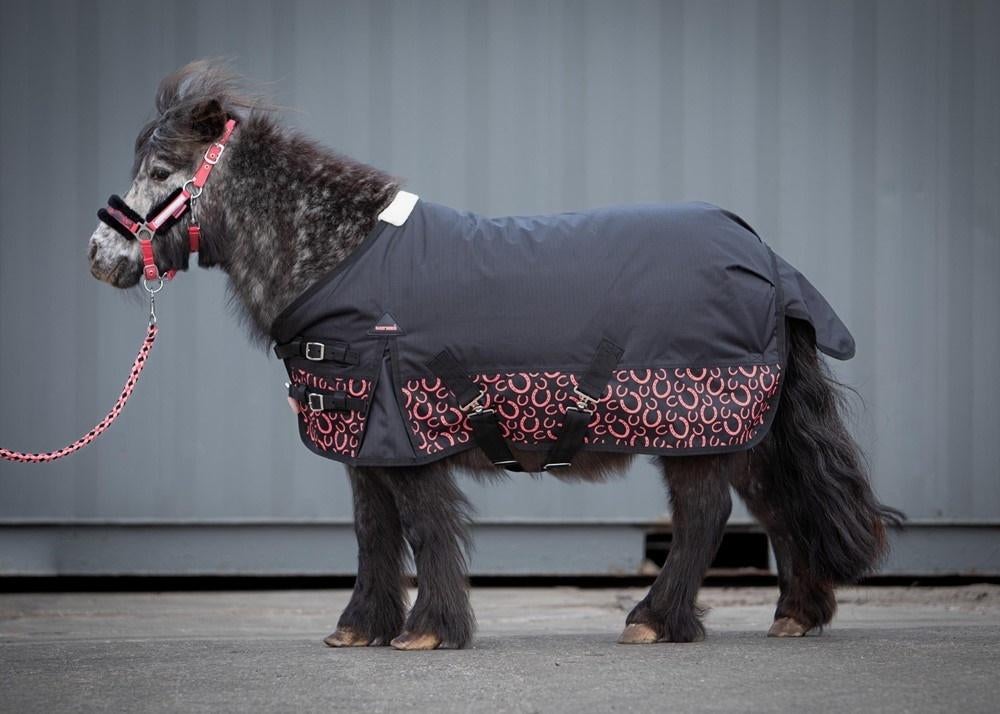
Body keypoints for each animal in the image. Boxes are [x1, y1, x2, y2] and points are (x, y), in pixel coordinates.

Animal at [87, 61, 901, 650]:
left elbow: (422, 527)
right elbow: (373, 532)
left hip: (698, 430)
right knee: (780, 508)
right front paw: (360, 627)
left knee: (705, 516)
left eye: (160, 173)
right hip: (744, 433)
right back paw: (795, 614)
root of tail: (764, 255)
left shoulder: (408, 434)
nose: (100, 256)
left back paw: (654, 619)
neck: (340, 257)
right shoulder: (364, 441)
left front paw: (428, 632)